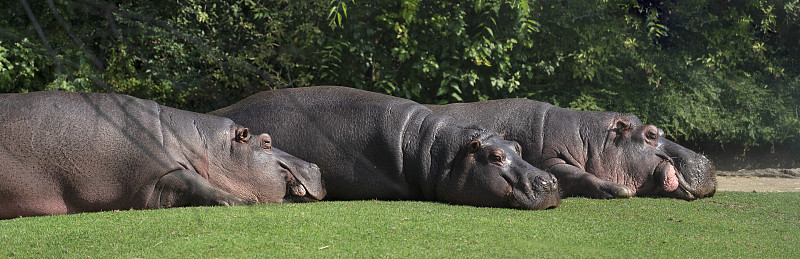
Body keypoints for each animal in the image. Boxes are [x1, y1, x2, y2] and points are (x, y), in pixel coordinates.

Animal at [0, 91, 324, 219]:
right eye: (267, 142)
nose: (315, 165)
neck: (204, 146)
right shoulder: (154, 177)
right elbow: (197, 184)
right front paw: (241, 202)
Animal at [428, 99, 716, 201]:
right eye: (651, 134)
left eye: (663, 131)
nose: (706, 161)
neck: (592, 140)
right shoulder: (551, 161)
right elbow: (581, 175)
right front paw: (621, 190)